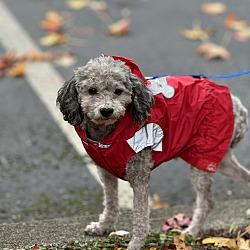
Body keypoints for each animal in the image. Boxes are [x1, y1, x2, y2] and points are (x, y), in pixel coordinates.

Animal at [56, 55, 250, 250]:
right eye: (92, 90)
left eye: (118, 91)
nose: (106, 110)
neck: (107, 135)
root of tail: (237, 107)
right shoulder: (106, 172)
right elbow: (110, 202)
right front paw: (103, 227)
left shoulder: (139, 175)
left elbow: (140, 215)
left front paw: (136, 244)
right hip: (216, 156)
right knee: (245, 177)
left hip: (203, 156)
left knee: (207, 202)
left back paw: (191, 232)